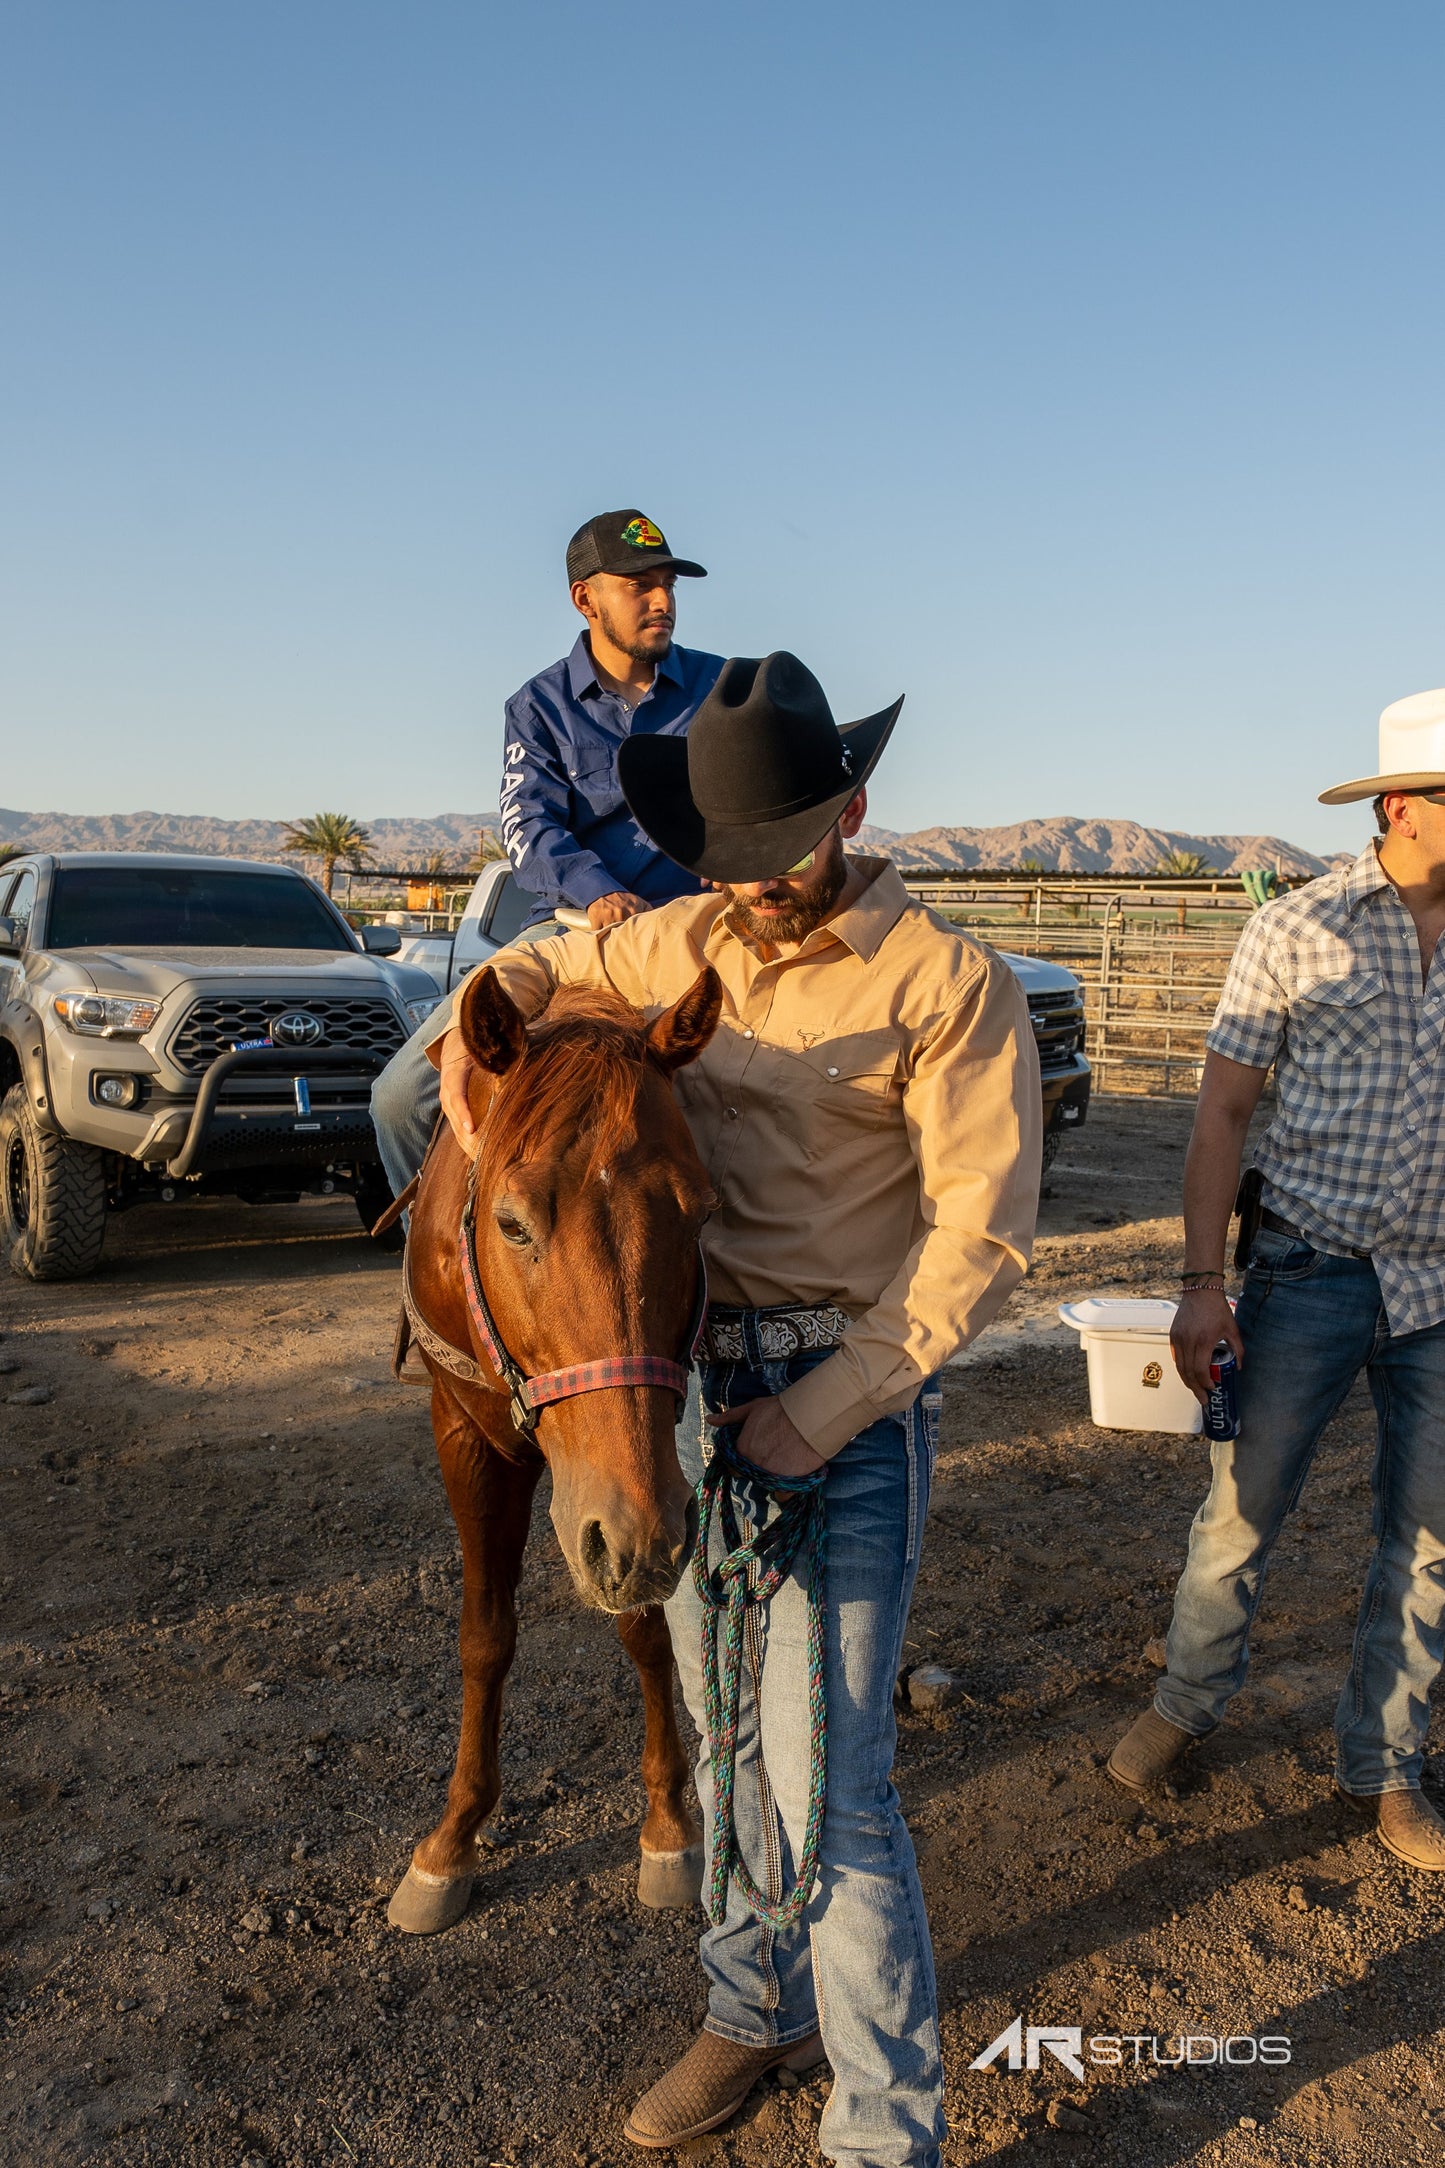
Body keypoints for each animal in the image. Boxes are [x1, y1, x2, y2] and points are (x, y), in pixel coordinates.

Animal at [387, 966, 719, 1933]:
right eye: (511, 1224)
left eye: (699, 1216)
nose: (637, 1539)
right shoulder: (465, 1439)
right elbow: (484, 1637)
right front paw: (452, 1839)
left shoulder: (650, 1492)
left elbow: (646, 1631)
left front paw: (668, 1825)